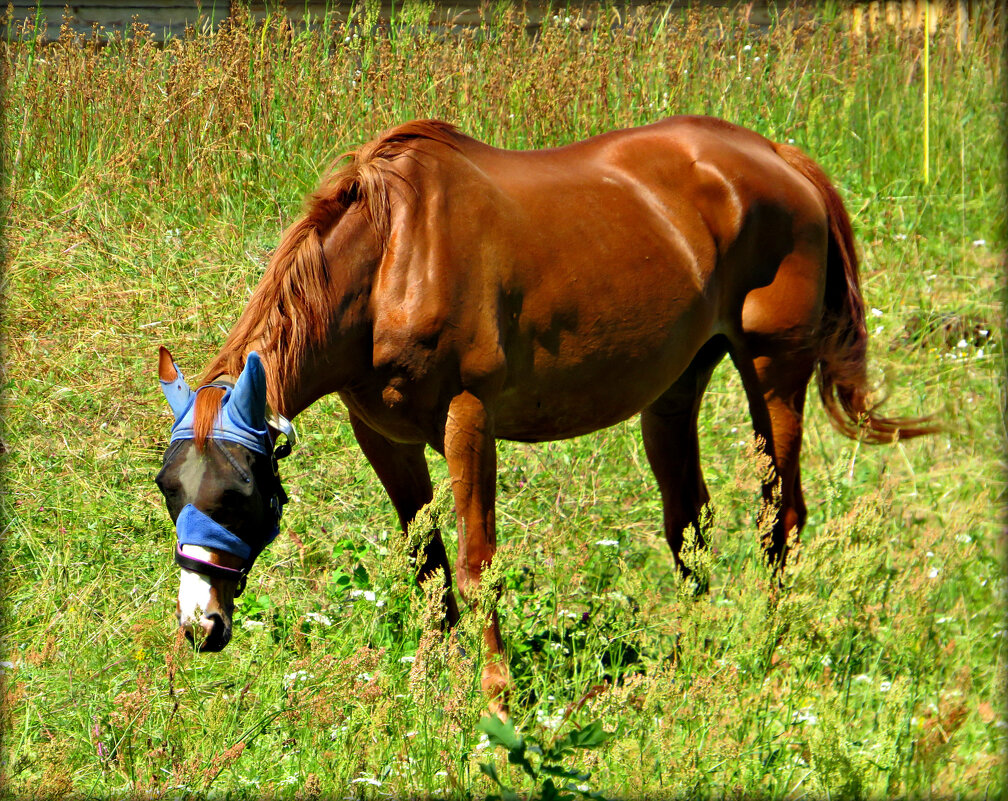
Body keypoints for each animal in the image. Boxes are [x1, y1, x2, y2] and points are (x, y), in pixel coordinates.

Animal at [153, 115, 931, 709]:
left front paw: (496, 694)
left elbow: (475, 565)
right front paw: (429, 682)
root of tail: (777, 155)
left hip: (773, 373)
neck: (393, 256)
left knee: (782, 516)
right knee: (689, 523)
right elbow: (427, 565)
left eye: (240, 492)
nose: (200, 623)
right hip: (675, 390)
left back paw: (769, 645)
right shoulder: (383, 437)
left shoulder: (468, 422)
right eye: (168, 490)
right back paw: (697, 645)